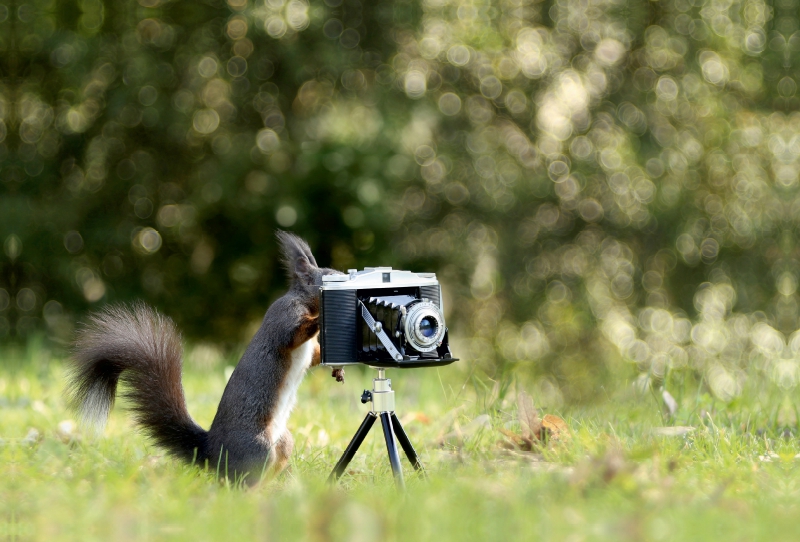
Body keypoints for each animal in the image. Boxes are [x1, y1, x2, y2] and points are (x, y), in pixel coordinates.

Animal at [67, 232, 342, 486]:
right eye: (331, 277)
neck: (304, 301)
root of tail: (213, 453)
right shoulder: (285, 316)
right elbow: (292, 335)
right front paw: (319, 319)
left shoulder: (309, 349)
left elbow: (314, 356)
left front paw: (338, 369)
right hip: (257, 448)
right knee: (239, 482)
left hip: (282, 443)